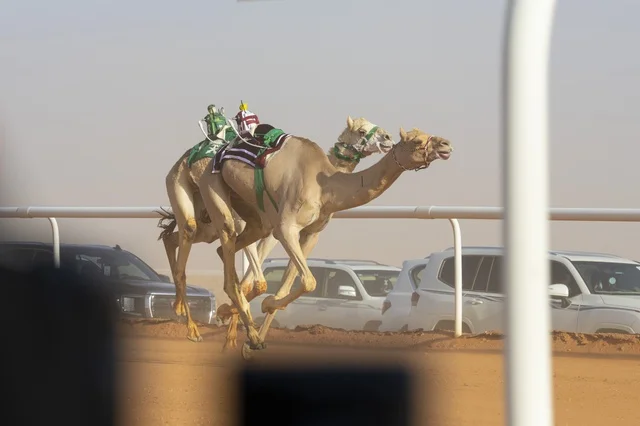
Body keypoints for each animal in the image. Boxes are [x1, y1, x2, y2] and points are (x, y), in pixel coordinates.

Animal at [161, 115, 395, 342]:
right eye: (362, 131)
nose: (388, 137)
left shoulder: (292, 232)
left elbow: (263, 283)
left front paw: (233, 328)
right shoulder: (277, 227)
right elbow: (259, 283)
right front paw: (238, 324)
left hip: (211, 223)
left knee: (176, 238)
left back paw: (181, 307)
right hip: (189, 189)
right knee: (191, 236)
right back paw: (193, 329)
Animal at [196, 125, 453, 358]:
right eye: (417, 141)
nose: (446, 144)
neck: (325, 187)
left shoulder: (311, 234)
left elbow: (290, 286)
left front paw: (258, 321)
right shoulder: (285, 228)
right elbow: (309, 281)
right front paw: (262, 313)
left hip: (253, 216)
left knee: (226, 250)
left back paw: (233, 318)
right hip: (214, 188)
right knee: (229, 243)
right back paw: (244, 329)